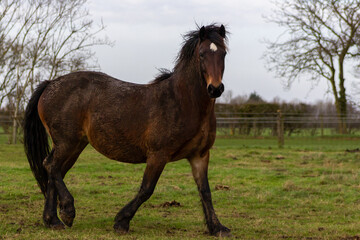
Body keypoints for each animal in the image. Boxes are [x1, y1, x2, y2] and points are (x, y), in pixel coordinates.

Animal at [23, 23, 231, 237]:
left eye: (223, 53)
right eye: (202, 54)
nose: (215, 88)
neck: (183, 102)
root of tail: (50, 84)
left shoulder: (200, 155)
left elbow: (205, 191)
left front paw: (217, 228)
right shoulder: (158, 155)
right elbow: (147, 189)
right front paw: (121, 221)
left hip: (75, 145)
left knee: (55, 172)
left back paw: (53, 220)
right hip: (66, 142)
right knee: (50, 166)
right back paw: (67, 211)